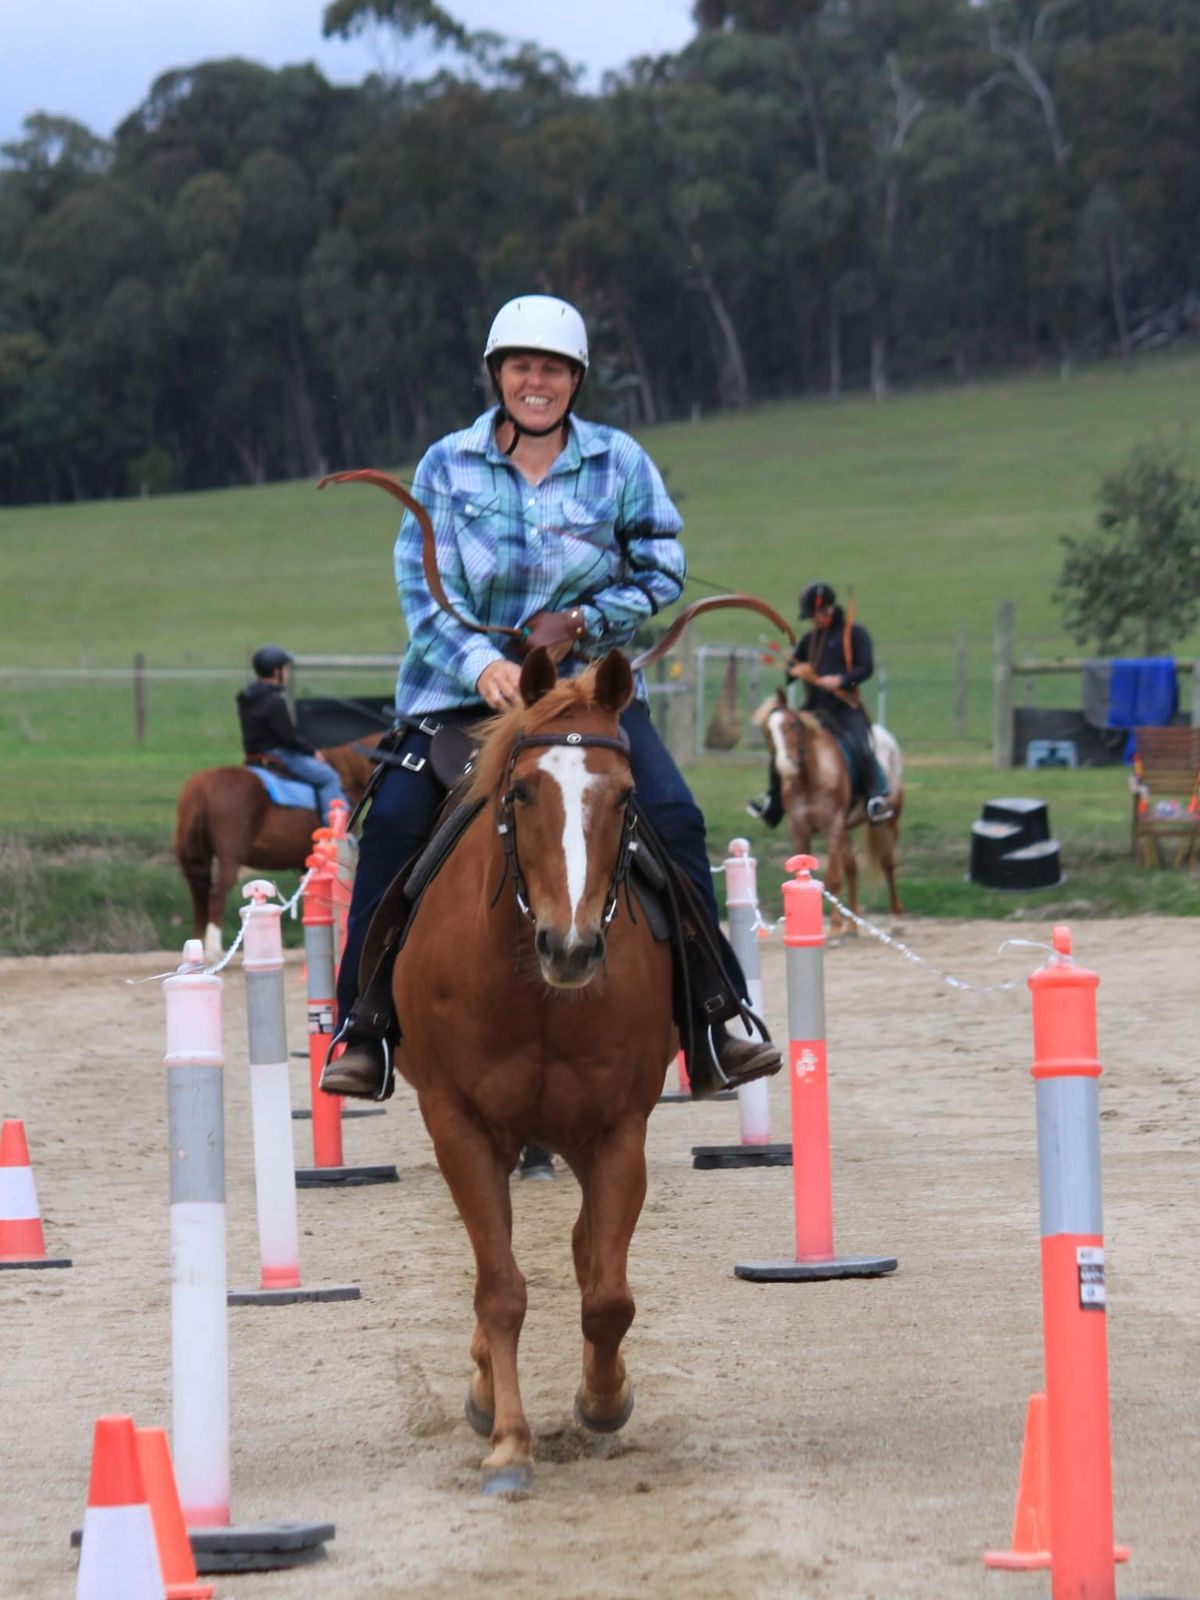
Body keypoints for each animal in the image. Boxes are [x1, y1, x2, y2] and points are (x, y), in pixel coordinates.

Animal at [392, 643, 678, 1491]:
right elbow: (501, 1289)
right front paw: (509, 1441)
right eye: (522, 791)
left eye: (625, 796)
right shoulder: (458, 1125)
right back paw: (487, 1391)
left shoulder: (617, 1129)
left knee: (585, 1252)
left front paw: (604, 1402)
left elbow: (607, 1293)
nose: (572, 946)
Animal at [755, 691, 908, 934]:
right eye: (767, 730)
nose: (785, 766)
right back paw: (852, 927)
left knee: (888, 864)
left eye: (793, 724)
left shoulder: (832, 826)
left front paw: (835, 928)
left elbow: (833, 877)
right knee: (852, 867)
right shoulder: (800, 830)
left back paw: (897, 920)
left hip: (889, 821)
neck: (810, 778)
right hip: (846, 828)